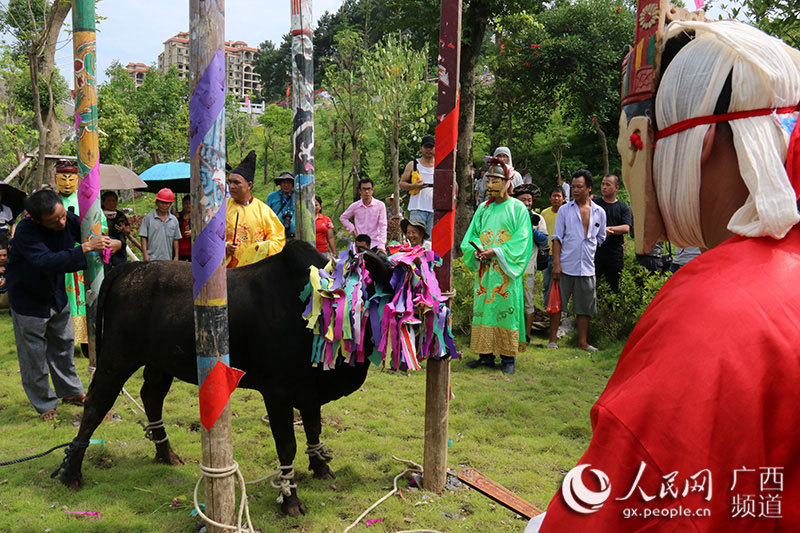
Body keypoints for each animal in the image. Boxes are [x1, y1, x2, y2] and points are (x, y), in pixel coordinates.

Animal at [54, 239, 392, 512]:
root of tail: (131, 268)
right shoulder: (278, 393)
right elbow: (287, 445)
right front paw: (290, 500)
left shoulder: (309, 390)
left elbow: (314, 430)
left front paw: (321, 468)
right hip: (116, 359)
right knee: (96, 405)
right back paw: (72, 473)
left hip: (162, 363)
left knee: (151, 396)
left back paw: (166, 454)